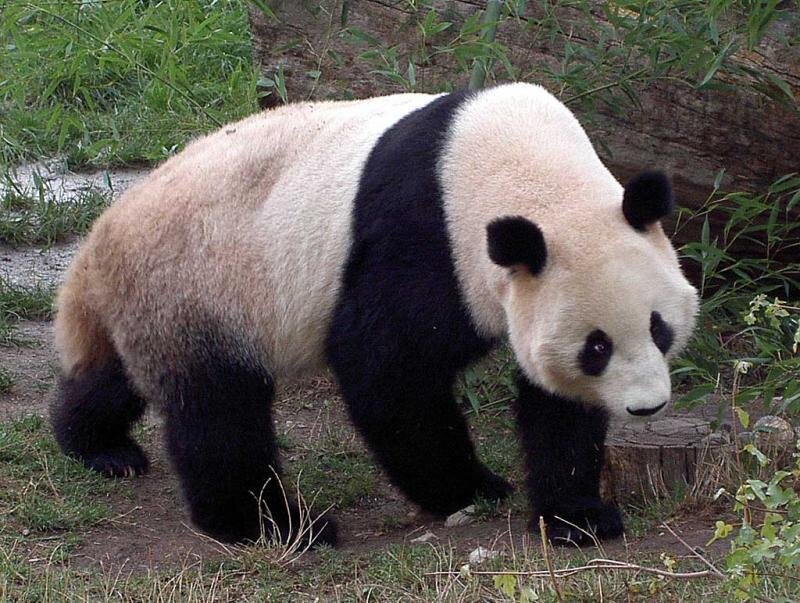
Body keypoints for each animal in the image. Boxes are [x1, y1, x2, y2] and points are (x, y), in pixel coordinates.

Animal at [51, 83, 698, 547]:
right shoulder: (428, 239)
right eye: (597, 346)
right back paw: (273, 526)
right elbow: (387, 370)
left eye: (658, 327)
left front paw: (579, 516)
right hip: (199, 285)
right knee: (219, 413)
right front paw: (470, 488)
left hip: (157, 302)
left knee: (114, 375)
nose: (648, 407)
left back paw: (98, 447)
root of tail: (102, 236)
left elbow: (556, 406)